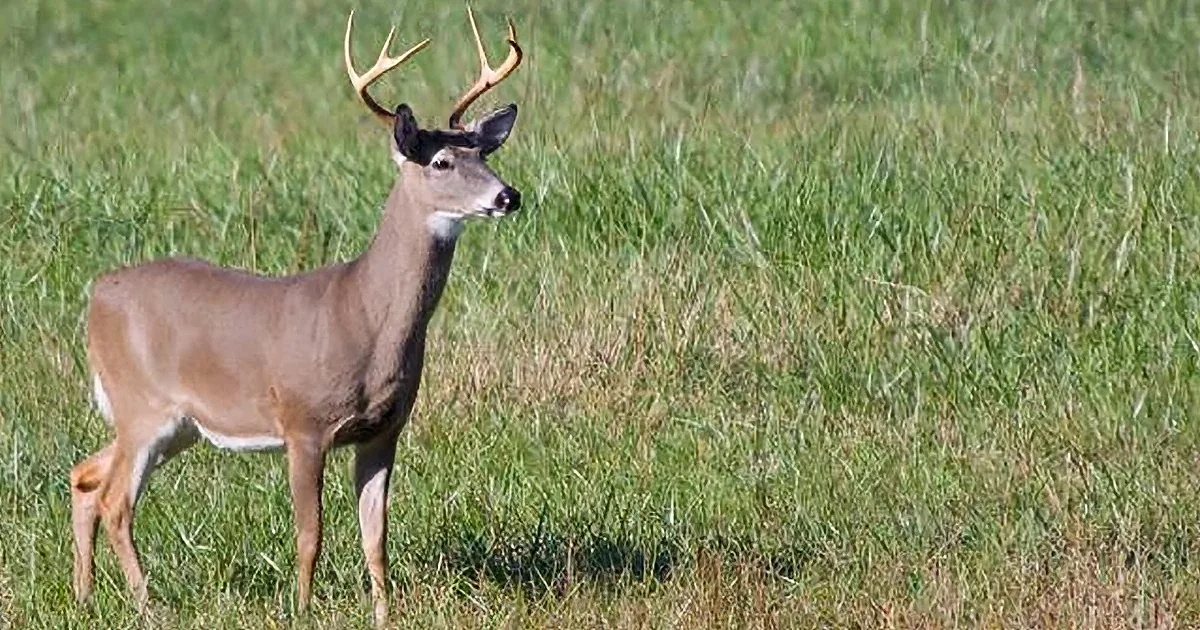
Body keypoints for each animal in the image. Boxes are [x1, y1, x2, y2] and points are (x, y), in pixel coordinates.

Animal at [68, 7, 523, 626]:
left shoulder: (384, 430)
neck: (363, 313)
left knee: (85, 477)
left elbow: (375, 535)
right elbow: (311, 533)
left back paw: (85, 594)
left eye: (485, 154)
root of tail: (96, 293)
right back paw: (147, 604)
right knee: (116, 500)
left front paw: (384, 613)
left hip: (174, 424)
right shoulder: (303, 422)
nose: (508, 196)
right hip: (142, 405)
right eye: (442, 160)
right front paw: (303, 608)